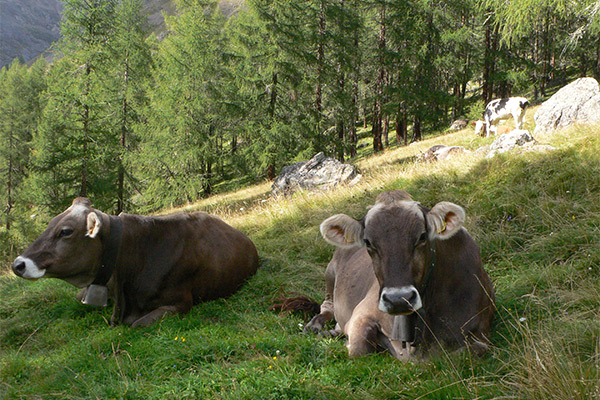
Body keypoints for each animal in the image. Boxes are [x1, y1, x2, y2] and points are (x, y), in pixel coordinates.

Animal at [308, 191, 494, 360]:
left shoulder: (482, 334)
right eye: (368, 242)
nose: (398, 299)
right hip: (330, 273)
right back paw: (316, 326)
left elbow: (470, 352)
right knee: (327, 305)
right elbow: (359, 351)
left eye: (422, 236)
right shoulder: (361, 313)